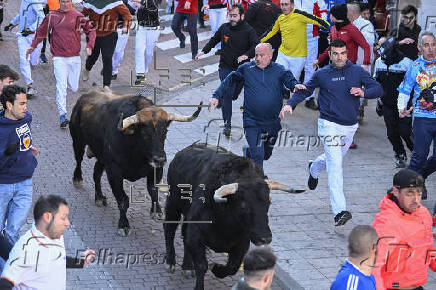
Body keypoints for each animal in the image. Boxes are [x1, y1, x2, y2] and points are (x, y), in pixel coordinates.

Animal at [70, 88, 203, 236]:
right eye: (145, 133)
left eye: (165, 132)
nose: (160, 159)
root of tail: (84, 97)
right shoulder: (114, 171)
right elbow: (123, 199)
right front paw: (123, 224)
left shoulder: (155, 169)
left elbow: (153, 190)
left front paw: (156, 211)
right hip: (78, 141)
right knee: (78, 161)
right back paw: (78, 179)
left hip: (102, 157)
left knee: (96, 173)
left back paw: (99, 197)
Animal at [164, 143, 304, 290]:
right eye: (243, 206)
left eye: (269, 203)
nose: (265, 238)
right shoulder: (196, 234)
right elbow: (202, 265)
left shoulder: (242, 243)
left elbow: (233, 266)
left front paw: (217, 269)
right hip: (173, 203)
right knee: (169, 229)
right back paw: (170, 262)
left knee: (183, 234)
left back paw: (187, 267)